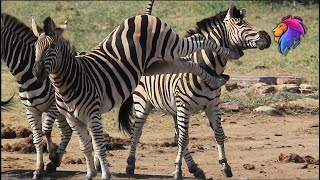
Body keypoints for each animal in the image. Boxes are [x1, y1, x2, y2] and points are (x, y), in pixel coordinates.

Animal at [0, 13, 72, 179]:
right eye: (35, 48)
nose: (38, 73)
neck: (26, 78)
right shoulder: (31, 110)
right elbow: (37, 138)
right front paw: (39, 169)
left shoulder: (52, 107)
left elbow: (46, 130)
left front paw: (52, 154)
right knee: (67, 131)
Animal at [31, 11, 242, 179]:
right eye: (35, 48)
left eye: (51, 48)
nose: (37, 73)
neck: (71, 79)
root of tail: (141, 15)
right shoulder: (73, 118)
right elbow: (86, 147)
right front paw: (90, 174)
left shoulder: (92, 114)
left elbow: (98, 146)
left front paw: (105, 175)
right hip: (159, 64)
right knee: (189, 64)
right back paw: (215, 79)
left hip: (171, 46)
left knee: (199, 39)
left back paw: (230, 53)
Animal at [117, 3, 270, 180]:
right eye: (240, 24)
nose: (267, 37)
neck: (207, 68)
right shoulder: (184, 107)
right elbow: (184, 140)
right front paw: (177, 171)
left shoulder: (213, 106)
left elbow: (218, 134)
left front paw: (225, 166)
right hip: (143, 103)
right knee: (137, 132)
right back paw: (130, 165)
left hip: (173, 109)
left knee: (177, 135)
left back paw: (195, 169)